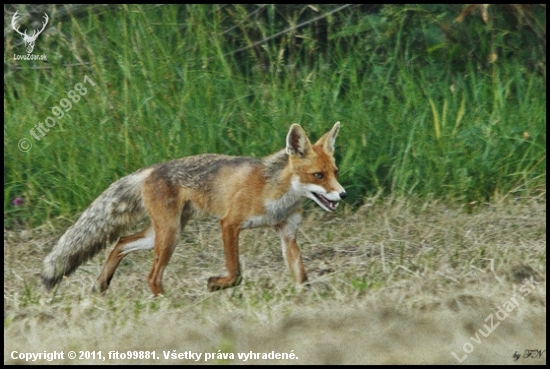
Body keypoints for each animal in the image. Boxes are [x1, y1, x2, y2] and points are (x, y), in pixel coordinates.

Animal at [43, 122, 348, 294]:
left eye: (335, 172)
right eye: (318, 175)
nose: (343, 194)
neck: (275, 193)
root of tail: (150, 170)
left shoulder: (287, 233)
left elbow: (301, 276)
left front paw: (305, 300)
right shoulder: (229, 223)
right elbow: (236, 272)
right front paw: (215, 285)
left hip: (162, 233)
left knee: (121, 242)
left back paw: (102, 284)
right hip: (170, 235)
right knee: (151, 275)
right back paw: (166, 304)